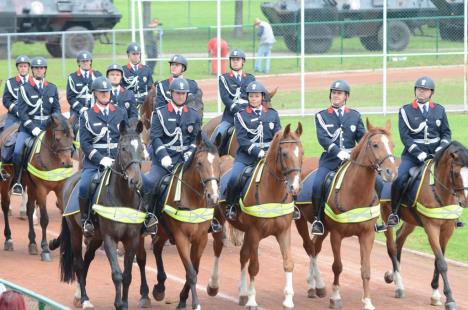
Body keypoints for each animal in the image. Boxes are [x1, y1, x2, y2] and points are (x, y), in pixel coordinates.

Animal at [50, 119, 145, 310]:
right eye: (123, 148)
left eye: (141, 147)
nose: (135, 181)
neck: (123, 198)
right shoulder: (110, 238)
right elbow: (116, 273)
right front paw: (118, 303)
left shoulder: (132, 240)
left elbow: (127, 275)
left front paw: (124, 303)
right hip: (76, 232)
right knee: (79, 263)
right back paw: (85, 299)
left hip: (96, 237)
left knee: (87, 259)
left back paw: (80, 295)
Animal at [135, 131, 221, 310]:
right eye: (200, 163)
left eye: (219, 162)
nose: (213, 196)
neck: (193, 200)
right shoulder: (181, 238)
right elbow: (191, 272)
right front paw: (195, 303)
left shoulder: (201, 239)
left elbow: (195, 269)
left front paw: (182, 300)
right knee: (141, 259)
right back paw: (145, 294)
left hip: (162, 231)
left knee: (157, 248)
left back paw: (160, 287)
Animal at [207, 122, 304, 308]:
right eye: (284, 153)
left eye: (301, 152)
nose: (295, 187)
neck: (272, 191)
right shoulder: (255, 233)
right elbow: (254, 266)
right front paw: (252, 299)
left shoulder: (283, 232)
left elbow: (288, 263)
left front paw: (288, 299)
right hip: (220, 223)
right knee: (217, 249)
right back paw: (213, 285)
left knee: (242, 255)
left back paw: (242, 293)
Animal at [294, 119, 396, 310]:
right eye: (375, 144)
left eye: (392, 144)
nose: (391, 172)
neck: (356, 192)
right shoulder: (337, 235)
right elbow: (337, 266)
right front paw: (335, 297)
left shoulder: (367, 234)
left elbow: (366, 269)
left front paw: (367, 301)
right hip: (301, 221)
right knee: (309, 247)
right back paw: (315, 285)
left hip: (323, 229)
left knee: (315, 247)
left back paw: (316, 285)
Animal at [380, 141, 468, 310]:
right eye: (455, 173)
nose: (465, 201)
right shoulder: (431, 227)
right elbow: (441, 263)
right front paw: (449, 299)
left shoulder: (447, 230)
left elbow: (438, 260)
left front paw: (435, 294)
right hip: (386, 213)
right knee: (392, 247)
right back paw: (398, 285)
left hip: (411, 221)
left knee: (399, 238)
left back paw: (393, 275)